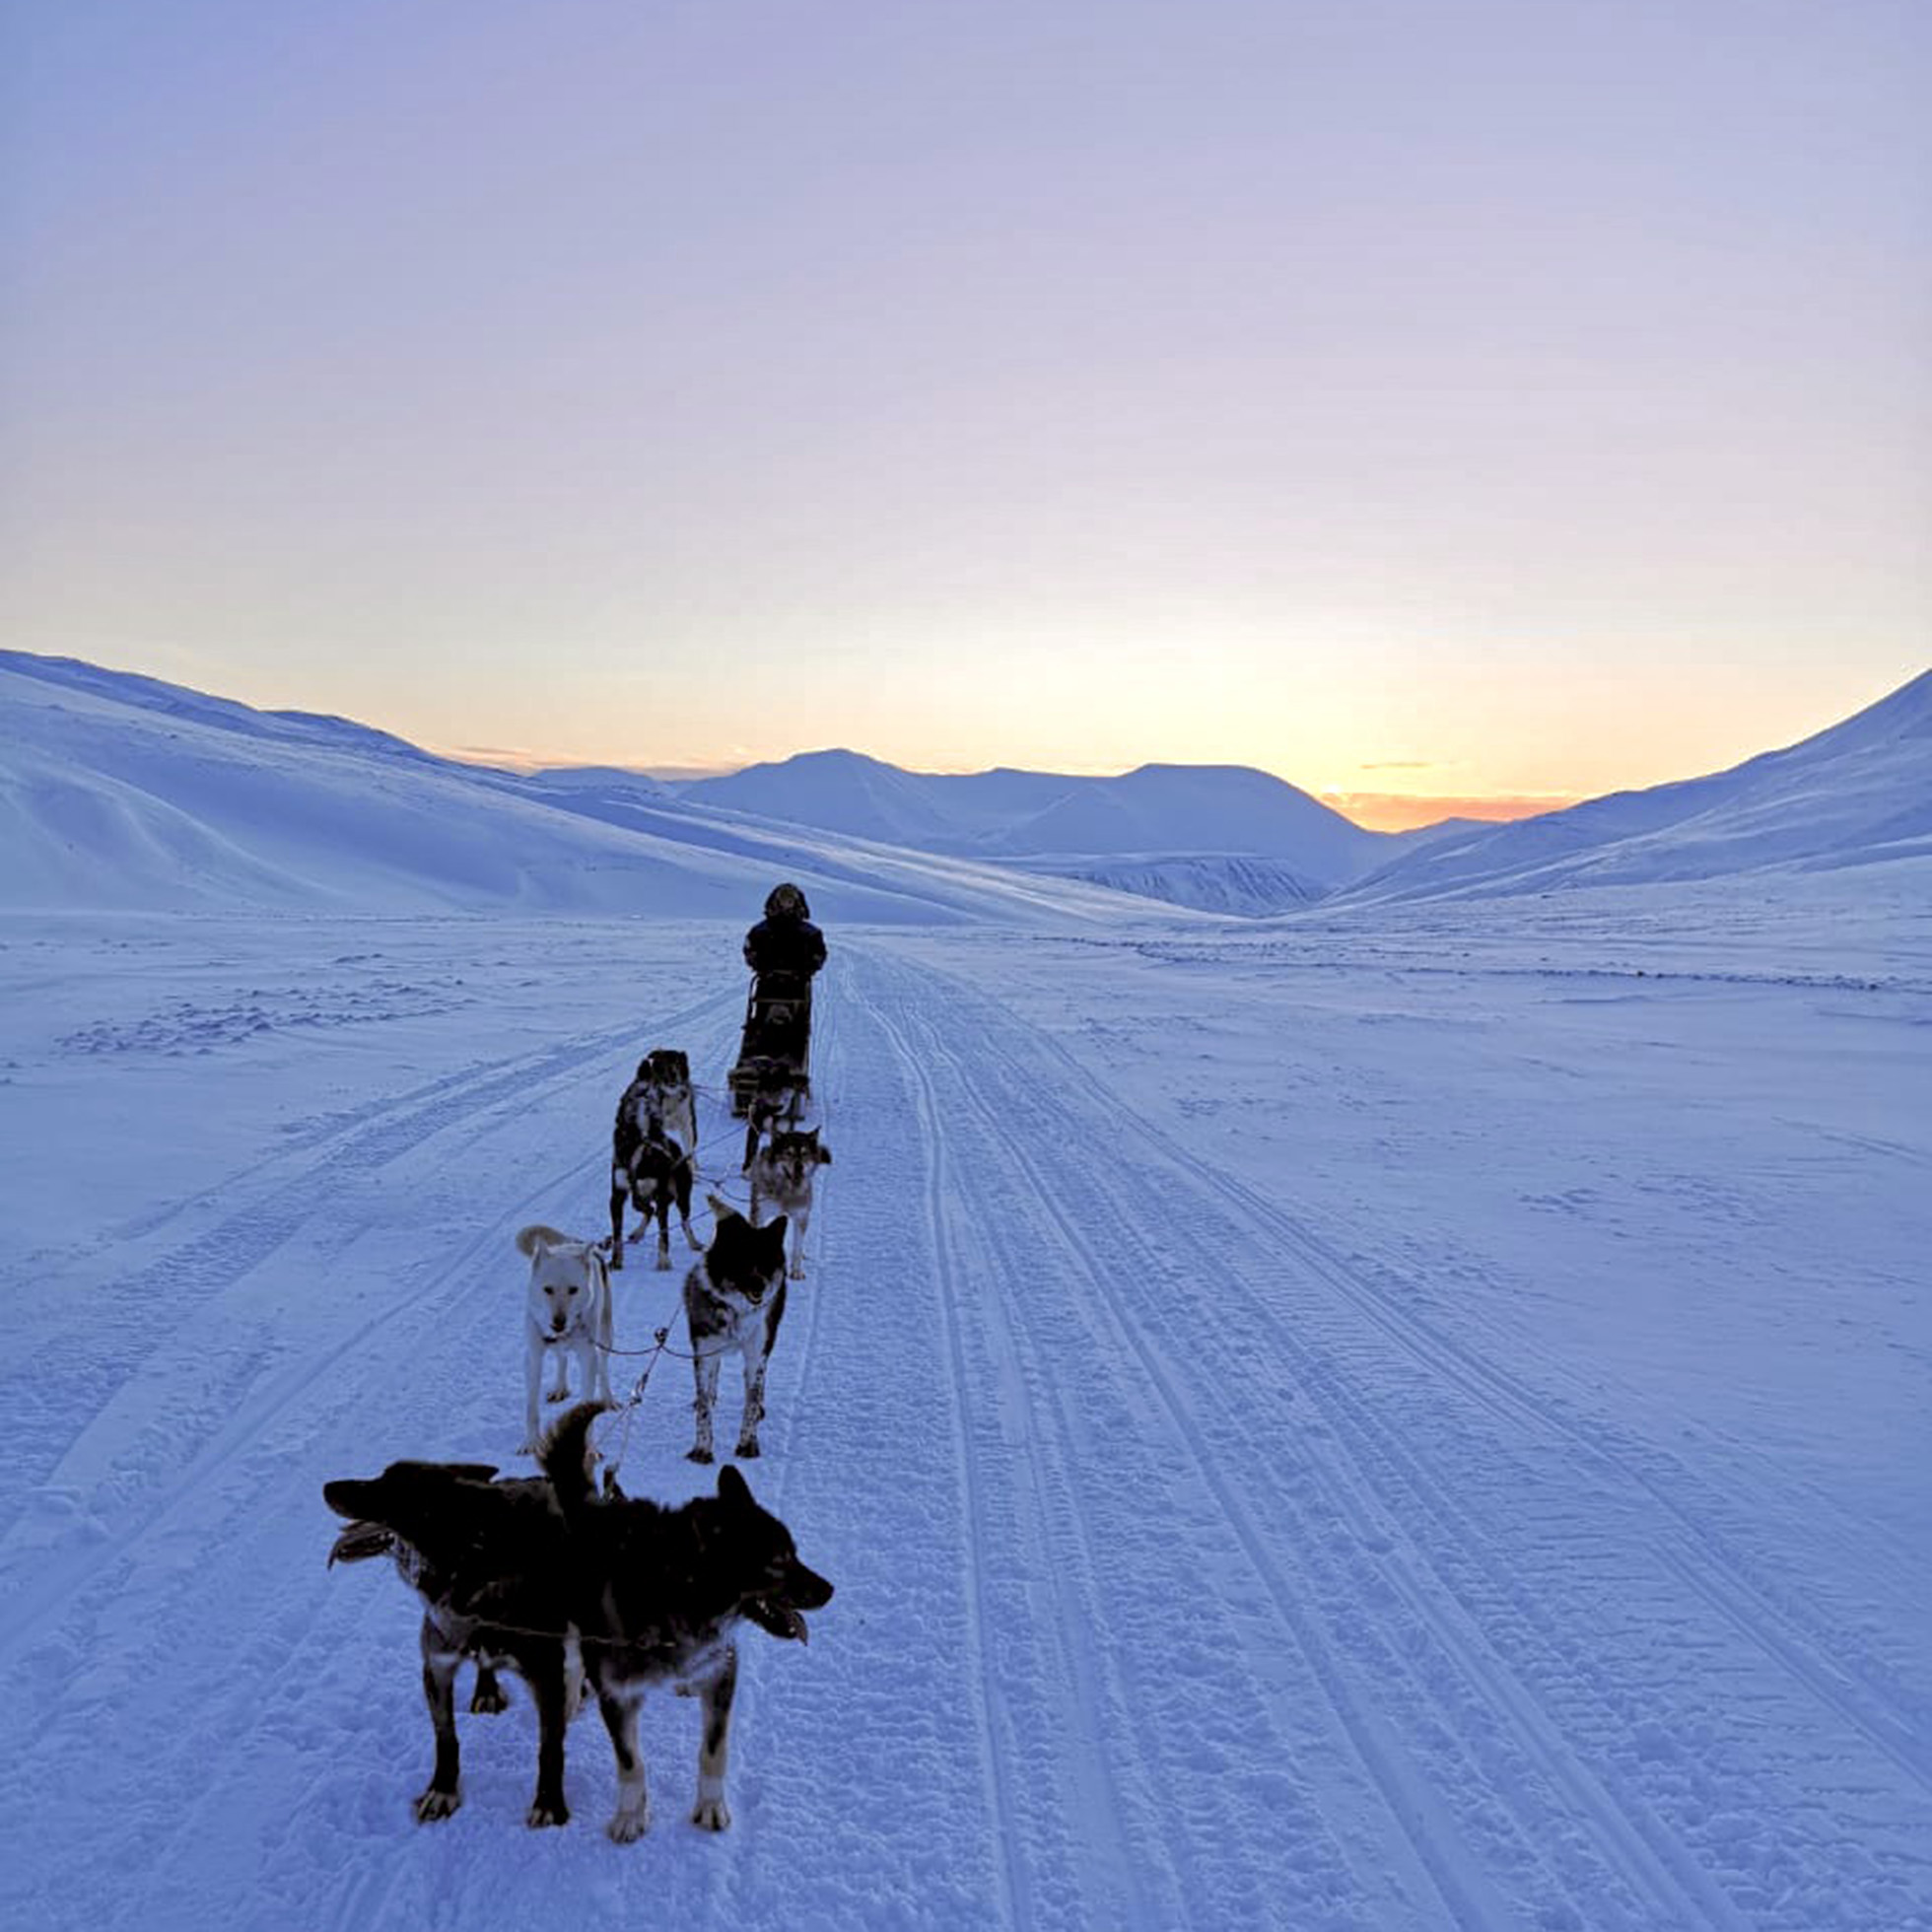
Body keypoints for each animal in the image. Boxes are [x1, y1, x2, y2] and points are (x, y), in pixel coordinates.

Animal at [324, 1452, 583, 1831]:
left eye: (387, 1485)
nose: (327, 1487)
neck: (470, 1561)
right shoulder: (436, 1666)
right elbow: (446, 1739)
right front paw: (442, 1791)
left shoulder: (545, 1675)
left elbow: (550, 1747)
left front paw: (549, 1803)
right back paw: (486, 1689)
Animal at [514, 1220, 610, 1452]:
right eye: (547, 1289)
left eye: (573, 1290)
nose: (559, 1322)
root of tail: (571, 1242)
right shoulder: (533, 1356)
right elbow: (531, 1408)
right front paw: (531, 1442)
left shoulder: (588, 1357)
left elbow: (587, 1404)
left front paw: (589, 1448)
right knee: (561, 1357)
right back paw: (560, 1388)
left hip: (605, 1334)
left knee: (603, 1367)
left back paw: (609, 1399)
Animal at [540, 1406, 826, 1838]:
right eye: (778, 1561)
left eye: (795, 1553)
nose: (830, 1590)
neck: (673, 1593)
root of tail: (594, 1509)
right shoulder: (617, 1696)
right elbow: (630, 1761)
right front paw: (630, 1815)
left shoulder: (723, 1673)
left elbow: (713, 1750)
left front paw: (710, 1806)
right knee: (572, 1659)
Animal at [687, 1190, 792, 1460]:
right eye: (742, 1260)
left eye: (767, 1262)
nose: (760, 1287)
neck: (736, 1310)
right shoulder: (704, 1350)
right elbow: (704, 1403)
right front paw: (702, 1448)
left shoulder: (756, 1352)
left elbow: (751, 1401)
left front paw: (748, 1444)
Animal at [741, 1128, 826, 1275]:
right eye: (788, 1153)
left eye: (805, 1153)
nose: (799, 1166)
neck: (787, 1192)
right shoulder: (760, 1215)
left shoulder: (801, 1217)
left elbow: (797, 1248)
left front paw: (796, 1272)